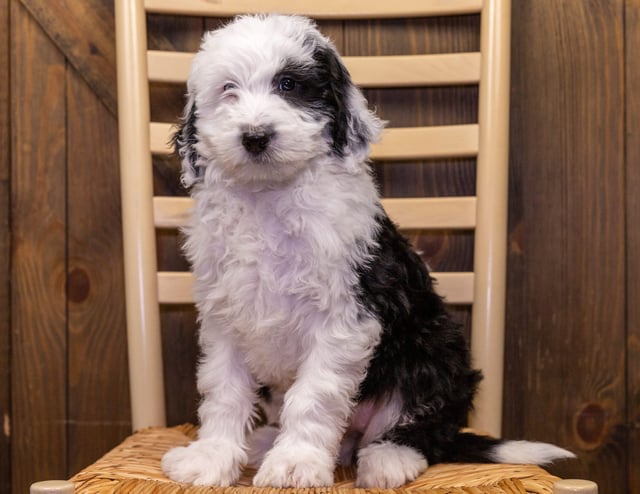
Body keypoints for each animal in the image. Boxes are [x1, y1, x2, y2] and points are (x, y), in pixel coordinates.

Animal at [161, 13, 576, 488]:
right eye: (228, 89)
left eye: (289, 84)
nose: (255, 136)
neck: (269, 198)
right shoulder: (225, 316)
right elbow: (224, 391)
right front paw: (210, 458)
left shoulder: (345, 313)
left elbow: (314, 395)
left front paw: (295, 463)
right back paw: (269, 440)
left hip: (434, 351)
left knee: (418, 429)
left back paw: (388, 459)